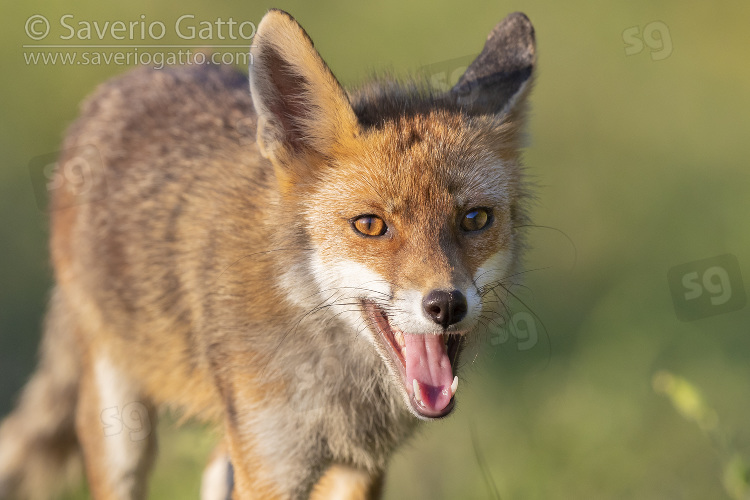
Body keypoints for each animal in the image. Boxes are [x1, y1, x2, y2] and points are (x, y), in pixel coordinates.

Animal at [1, 7, 540, 500]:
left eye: (475, 220)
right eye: (370, 225)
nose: (446, 305)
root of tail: (148, 73)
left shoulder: (357, 464)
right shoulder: (271, 468)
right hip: (122, 428)